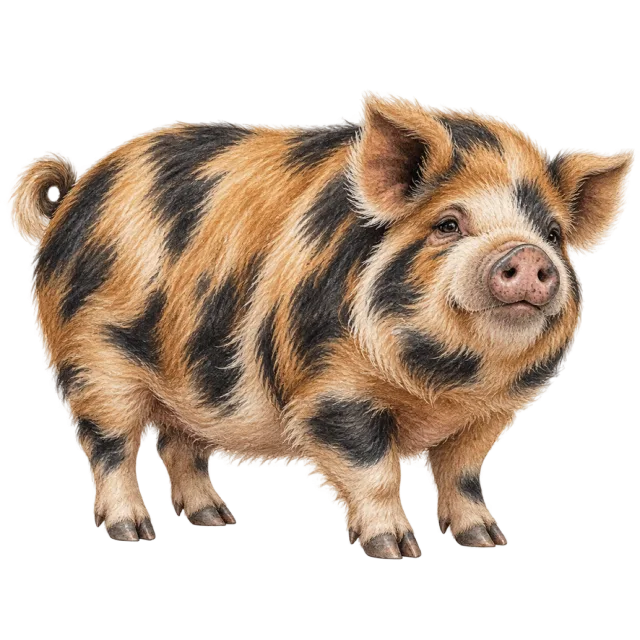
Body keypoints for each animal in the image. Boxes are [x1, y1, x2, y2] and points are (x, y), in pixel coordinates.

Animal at [7, 91, 635, 557]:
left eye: (552, 233)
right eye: (449, 224)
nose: (527, 255)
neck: (445, 385)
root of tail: (74, 194)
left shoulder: (488, 416)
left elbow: (462, 473)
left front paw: (486, 540)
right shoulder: (331, 388)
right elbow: (374, 470)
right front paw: (396, 547)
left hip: (184, 374)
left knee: (181, 442)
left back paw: (216, 519)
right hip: (92, 360)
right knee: (110, 446)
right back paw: (132, 532)